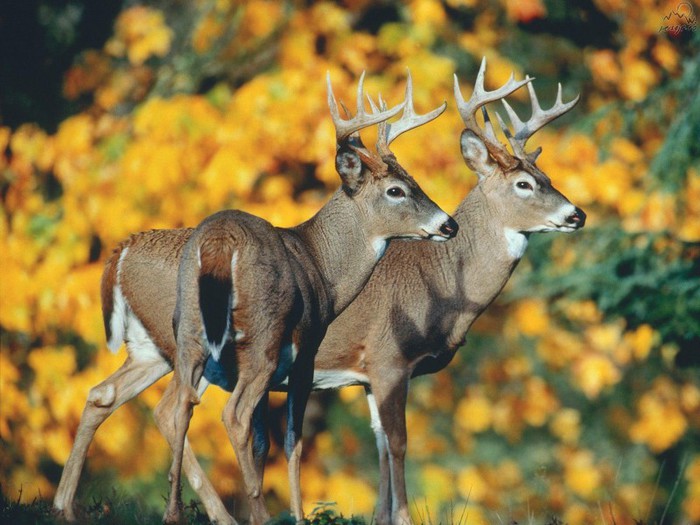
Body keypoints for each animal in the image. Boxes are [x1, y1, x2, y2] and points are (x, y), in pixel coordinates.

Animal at [54, 72, 460, 524]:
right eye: (395, 190)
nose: (449, 224)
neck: (322, 265)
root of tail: (218, 244)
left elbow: (264, 440)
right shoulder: (304, 352)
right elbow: (291, 441)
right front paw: (297, 514)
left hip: (185, 331)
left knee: (162, 405)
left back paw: (121, 509)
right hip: (260, 335)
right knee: (229, 415)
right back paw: (252, 514)